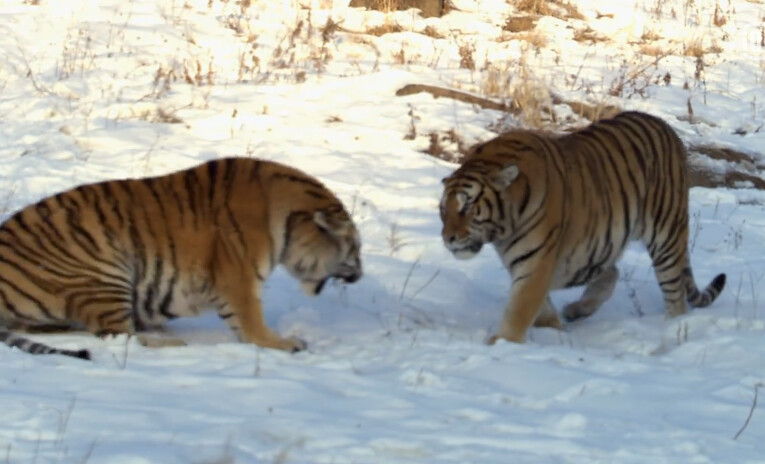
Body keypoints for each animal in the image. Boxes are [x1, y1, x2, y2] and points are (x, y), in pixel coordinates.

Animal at [0, 158, 362, 360]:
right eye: (355, 248)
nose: (359, 276)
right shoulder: (238, 278)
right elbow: (251, 322)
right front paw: (284, 343)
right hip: (104, 269)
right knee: (116, 334)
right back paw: (174, 342)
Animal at [438, 110, 724, 342]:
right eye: (443, 210)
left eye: (467, 206)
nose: (448, 238)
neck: (503, 230)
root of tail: (666, 126)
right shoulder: (525, 261)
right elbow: (539, 305)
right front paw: (552, 327)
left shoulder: (535, 263)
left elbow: (520, 308)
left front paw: (501, 344)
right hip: (598, 242)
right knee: (611, 273)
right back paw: (576, 310)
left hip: (665, 235)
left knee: (674, 294)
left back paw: (674, 330)